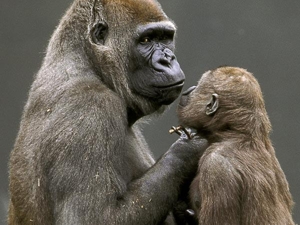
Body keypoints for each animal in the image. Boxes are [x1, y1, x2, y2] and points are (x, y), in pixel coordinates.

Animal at [8, 0, 206, 225]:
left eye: (165, 37)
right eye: (146, 40)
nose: (168, 59)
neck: (86, 62)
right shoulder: (90, 107)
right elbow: (95, 217)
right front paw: (189, 148)